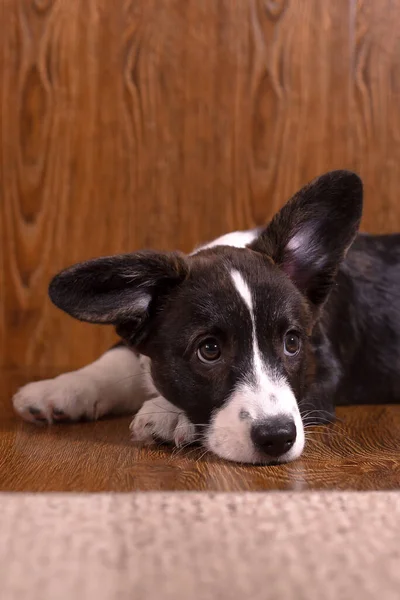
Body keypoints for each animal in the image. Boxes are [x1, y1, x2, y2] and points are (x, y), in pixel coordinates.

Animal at [12, 171, 400, 466]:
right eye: (209, 350)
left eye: (292, 343)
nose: (277, 438)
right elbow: (115, 360)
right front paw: (57, 389)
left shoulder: (324, 370)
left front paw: (170, 413)